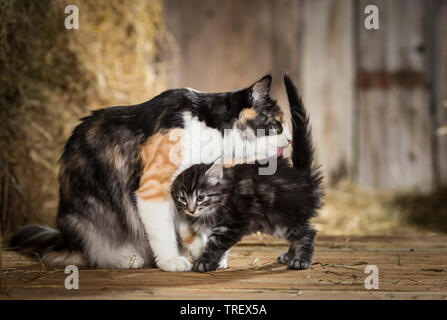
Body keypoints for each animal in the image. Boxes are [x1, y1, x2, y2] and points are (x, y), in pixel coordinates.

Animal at [10, 75, 292, 272]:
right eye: (277, 124)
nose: (290, 139)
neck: (207, 128)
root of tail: (63, 238)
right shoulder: (154, 188)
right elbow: (164, 231)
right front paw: (170, 260)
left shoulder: (186, 189)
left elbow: (190, 227)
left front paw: (206, 254)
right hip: (89, 216)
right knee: (92, 252)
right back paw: (125, 258)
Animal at [171, 75, 322, 272]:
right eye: (182, 198)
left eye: (201, 197)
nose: (191, 209)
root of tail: (301, 175)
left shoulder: (232, 223)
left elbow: (215, 244)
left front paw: (205, 262)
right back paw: (290, 255)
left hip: (283, 217)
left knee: (308, 232)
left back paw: (300, 260)